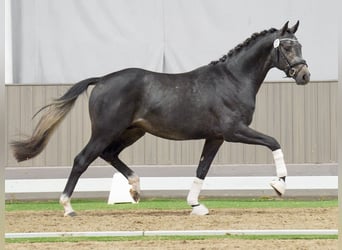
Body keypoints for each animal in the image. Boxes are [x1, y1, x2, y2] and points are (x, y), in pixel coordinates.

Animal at [11, 21, 310, 216]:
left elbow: (202, 169)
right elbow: (273, 142)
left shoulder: (215, 137)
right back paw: (68, 207)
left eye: (299, 46)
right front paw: (279, 186)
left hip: (131, 132)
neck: (233, 79)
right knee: (82, 160)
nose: (304, 75)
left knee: (109, 154)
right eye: (286, 47)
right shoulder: (234, 131)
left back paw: (135, 189)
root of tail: (103, 79)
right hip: (106, 131)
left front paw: (196, 206)